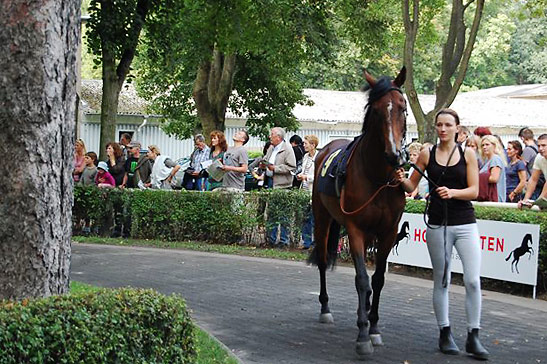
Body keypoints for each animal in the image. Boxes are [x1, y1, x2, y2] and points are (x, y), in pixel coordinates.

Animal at [310, 67, 408, 356]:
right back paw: (326, 308)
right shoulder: (355, 229)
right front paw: (363, 336)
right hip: (322, 218)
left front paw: (373, 327)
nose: (394, 154)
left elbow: (378, 280)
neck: (378, 178)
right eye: (375, 110)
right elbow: (362, 279)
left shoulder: (388, 232)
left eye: (403, 107)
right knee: (322, 260)